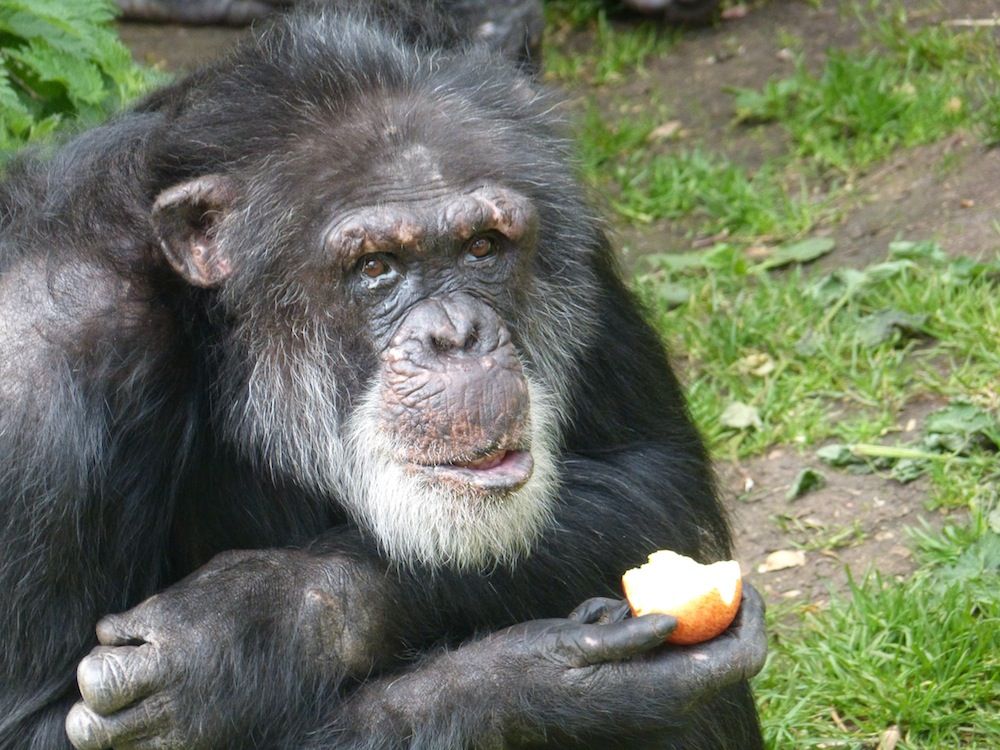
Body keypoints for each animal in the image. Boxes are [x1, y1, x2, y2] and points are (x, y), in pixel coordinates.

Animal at [0, 2, 764, 748]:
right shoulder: (38, 379)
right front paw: (571, 687)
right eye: (375, 267)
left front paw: (259, 620)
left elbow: (654, 478)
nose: (457, 336)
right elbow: (35, 726)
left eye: (482, 247)